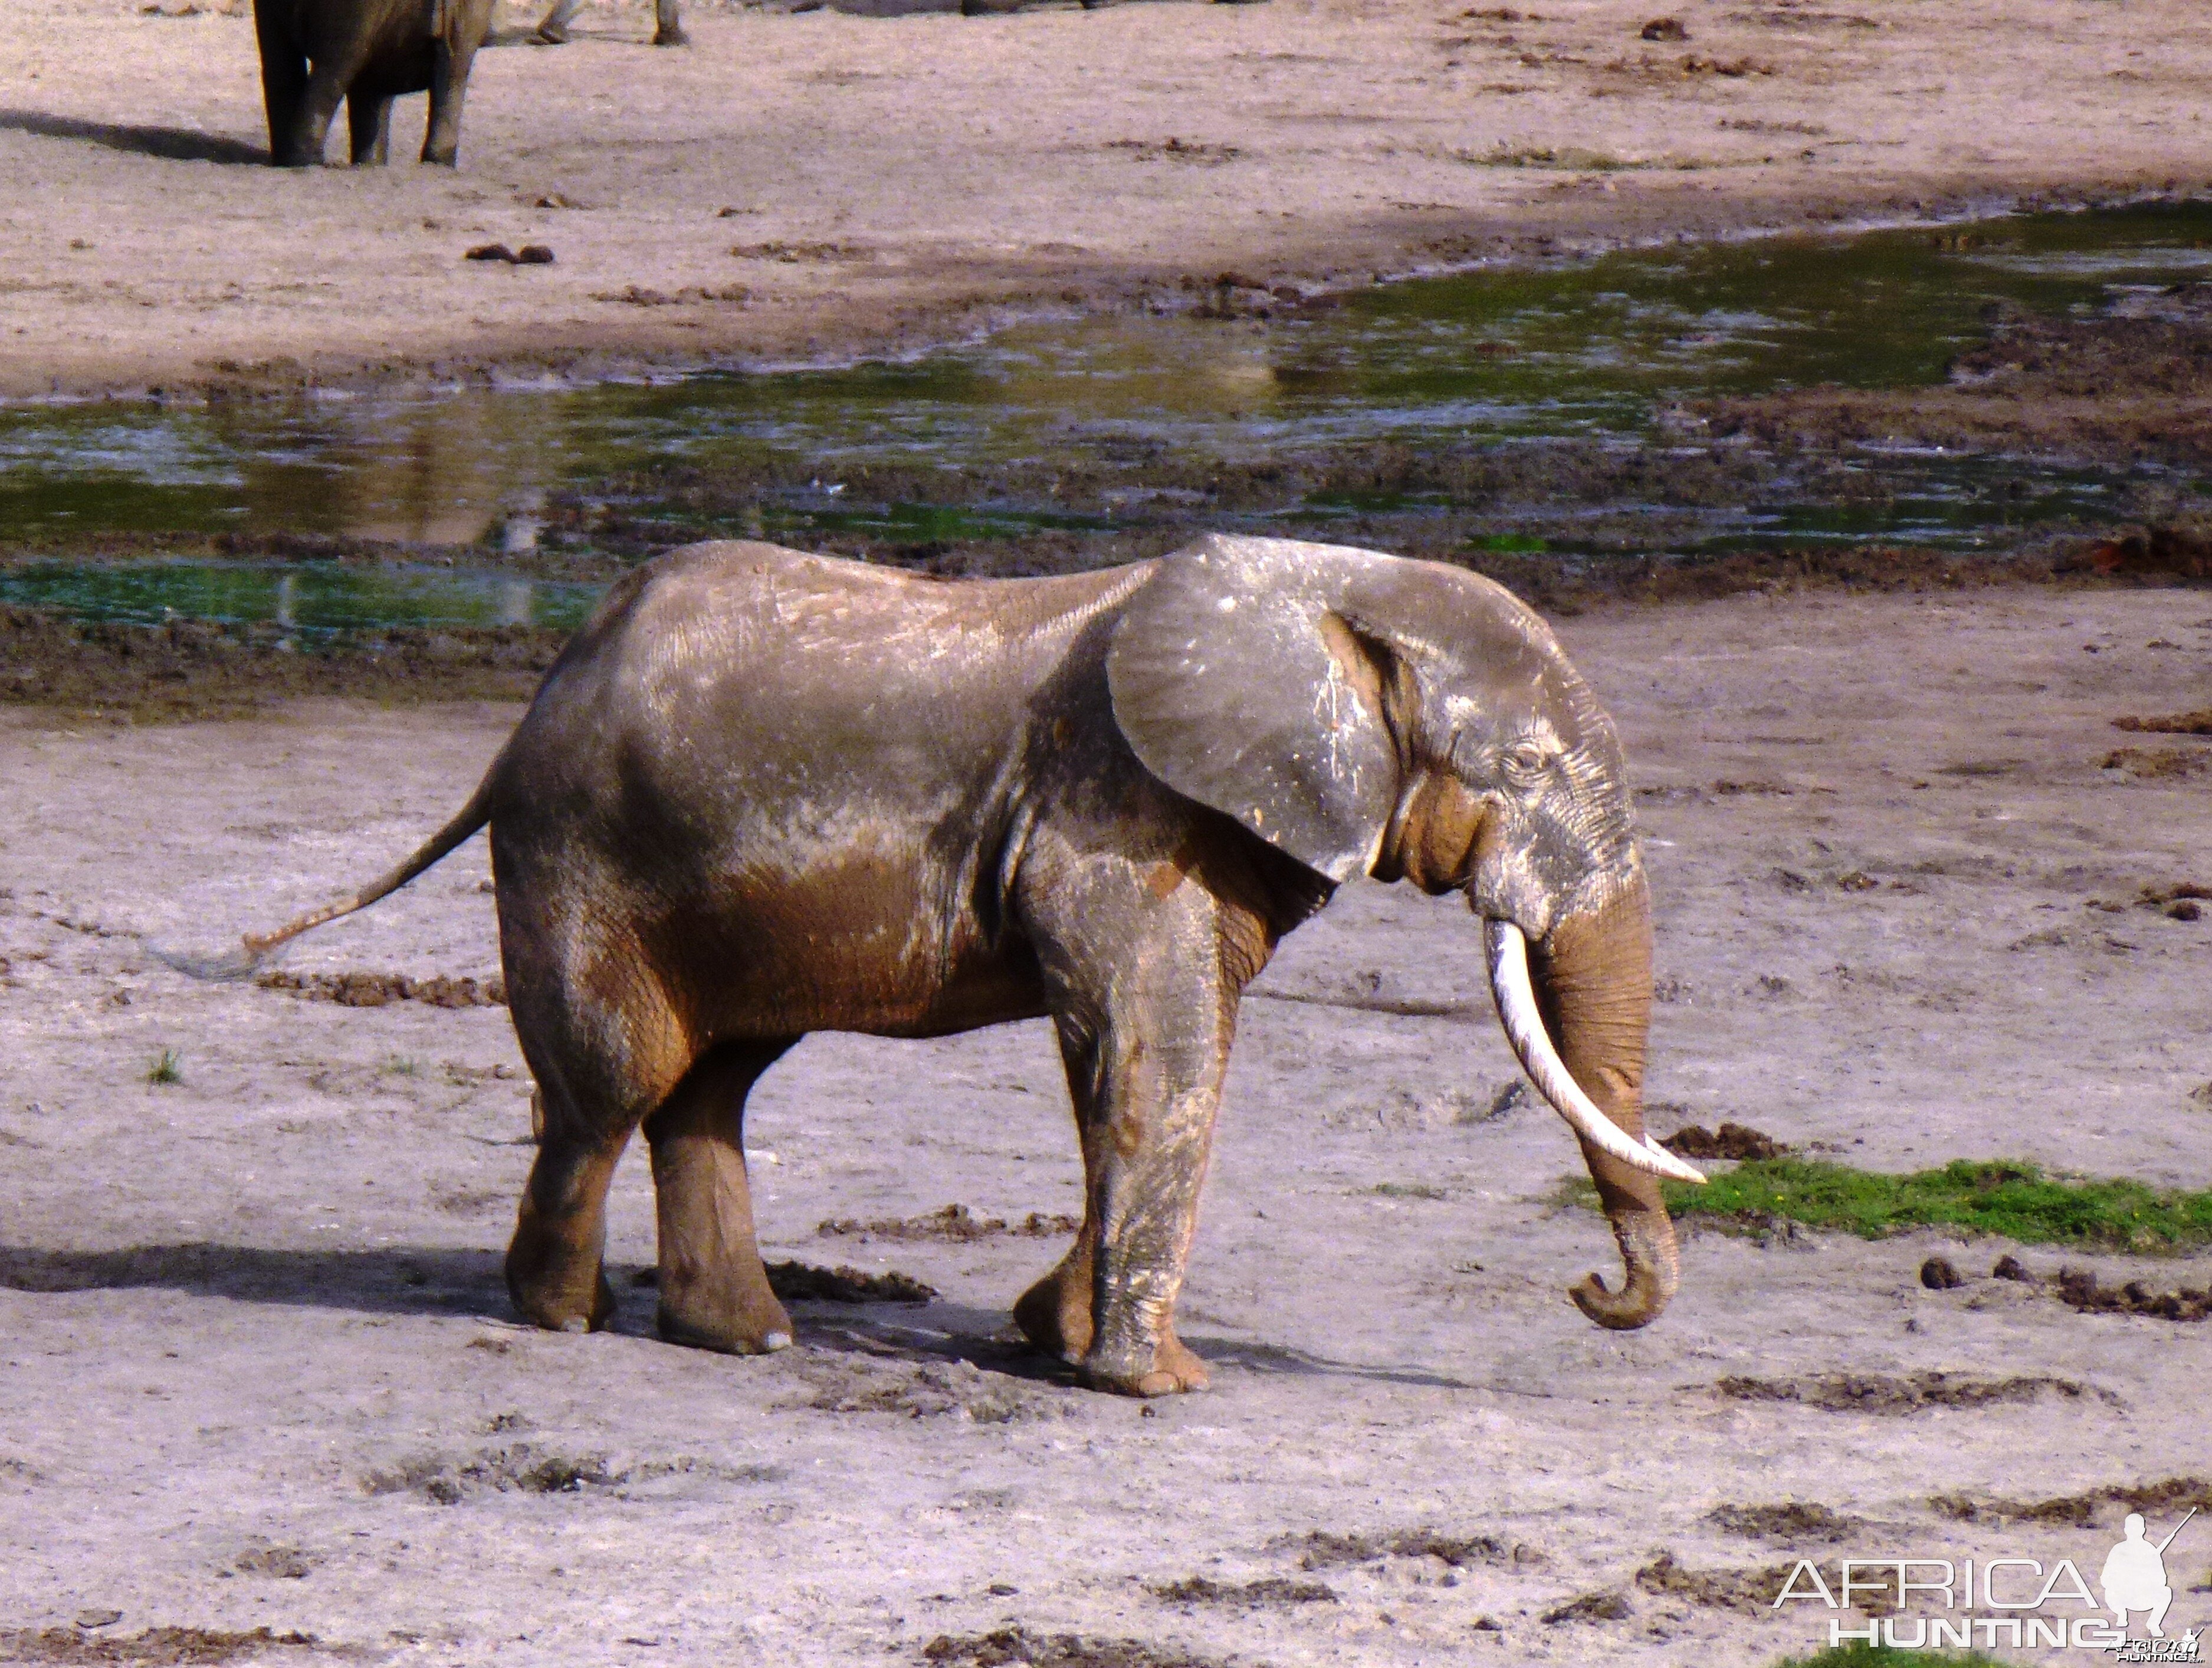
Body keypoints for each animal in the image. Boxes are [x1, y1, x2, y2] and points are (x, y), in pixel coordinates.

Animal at [204, 533, 1690, 1389]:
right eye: (1526, 770)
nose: (1586, 1290)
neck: (1330, 587)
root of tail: (531, 704)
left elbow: (1146, 1061)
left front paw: (1048, 1339)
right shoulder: (1116, 811)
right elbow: (1155, 1054)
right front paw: (1156, 1384)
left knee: (711, 1084)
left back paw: (745, 1339)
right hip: (581, 849)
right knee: (611, 1089)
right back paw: (563, 1320)